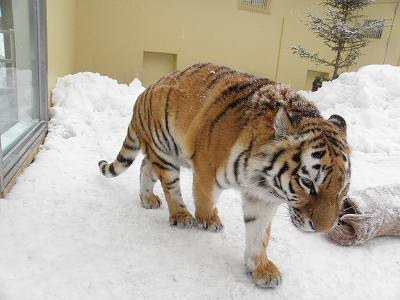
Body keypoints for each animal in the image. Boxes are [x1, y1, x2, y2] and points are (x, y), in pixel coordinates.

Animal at [98, 62, 352, 288]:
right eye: (307, 182)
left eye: (343, 190)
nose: (323, 229)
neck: (264, 181)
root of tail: (145, 92)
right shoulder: (207, 169)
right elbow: (206, 199)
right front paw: (209, 221)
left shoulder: (262, 197)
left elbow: (259, 233)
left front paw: (261, 269)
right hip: (165, 151)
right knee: (169, 185)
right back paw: (181, 216)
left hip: (163, 153)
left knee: (145, 166)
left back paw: (147, 199)